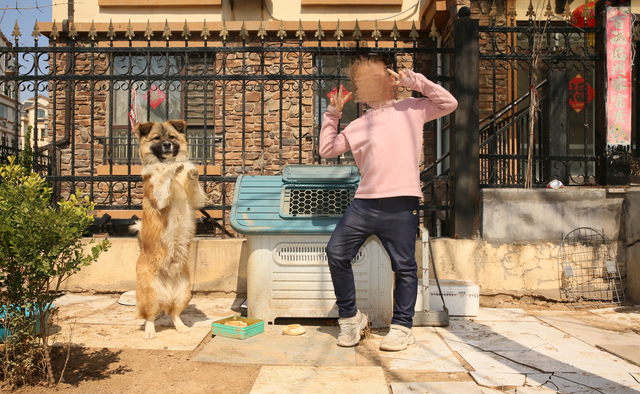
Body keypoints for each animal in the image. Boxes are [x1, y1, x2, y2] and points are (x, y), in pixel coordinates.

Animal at [132, 119, 205, 338]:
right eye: (157, 138)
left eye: (171, 137)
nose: (167, 145)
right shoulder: (160, 199)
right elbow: (164, 178)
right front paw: (171, 170)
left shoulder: (195, 199)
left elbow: (194, 186)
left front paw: (191, 171)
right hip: (151, 294)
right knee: (149, 316)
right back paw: (149, 331)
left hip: (184, 293)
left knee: (174, 314)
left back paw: (181, 326)